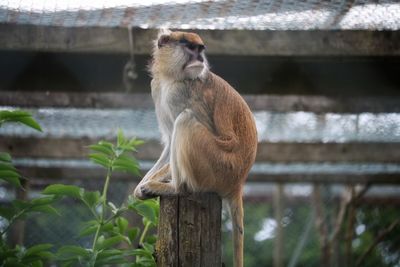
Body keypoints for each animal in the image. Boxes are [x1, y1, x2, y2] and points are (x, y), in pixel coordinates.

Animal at [134, 29, 258, 267]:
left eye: (201, 50)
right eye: (191, 48)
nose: (200, 59)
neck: (170, 77)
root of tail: (238, 182)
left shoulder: (180, 92)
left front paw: (149, 186)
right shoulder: (157, 89)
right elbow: (168, 141)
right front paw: (139, 187)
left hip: (219, 165)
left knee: (186, 120)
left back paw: (177, 188)